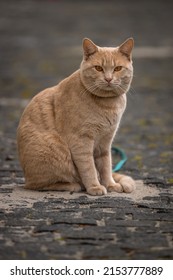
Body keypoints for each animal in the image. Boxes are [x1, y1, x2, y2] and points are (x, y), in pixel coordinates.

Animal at [16, 37, 136, 196]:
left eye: (117, 68)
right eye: (98, 68)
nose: (108, 79)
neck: (108, 104)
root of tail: (26, 176)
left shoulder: (105, 141)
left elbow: (106, 166)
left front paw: (110, 184)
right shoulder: (81, 141)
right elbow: (89, 168)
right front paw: (95, 187)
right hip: (53, 149)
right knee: (38, 184)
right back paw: (73, 185)